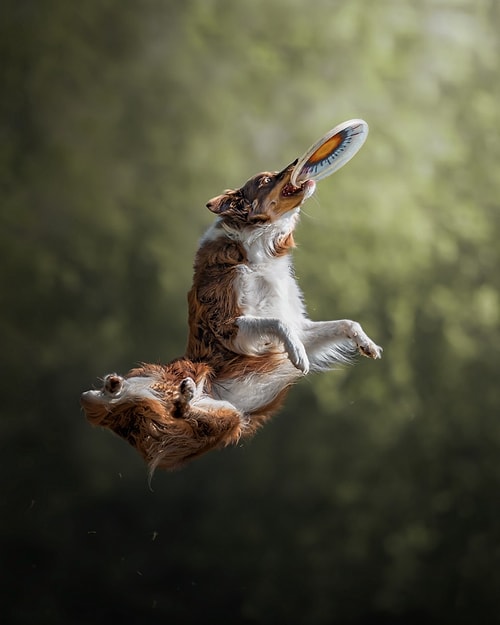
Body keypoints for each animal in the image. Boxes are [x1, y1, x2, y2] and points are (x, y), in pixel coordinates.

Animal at [81, 158, 382, 470]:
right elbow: (277, 323)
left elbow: (345, 323)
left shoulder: (299, 326)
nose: (297, 162)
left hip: (219, 413)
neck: (259, 249)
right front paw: (298, 355)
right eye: (265, 180)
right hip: (198, 400)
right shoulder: (228, 327)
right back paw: (171, 393)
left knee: (169, 410)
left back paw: (148, 389)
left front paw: (367, 344)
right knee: (167, 410)